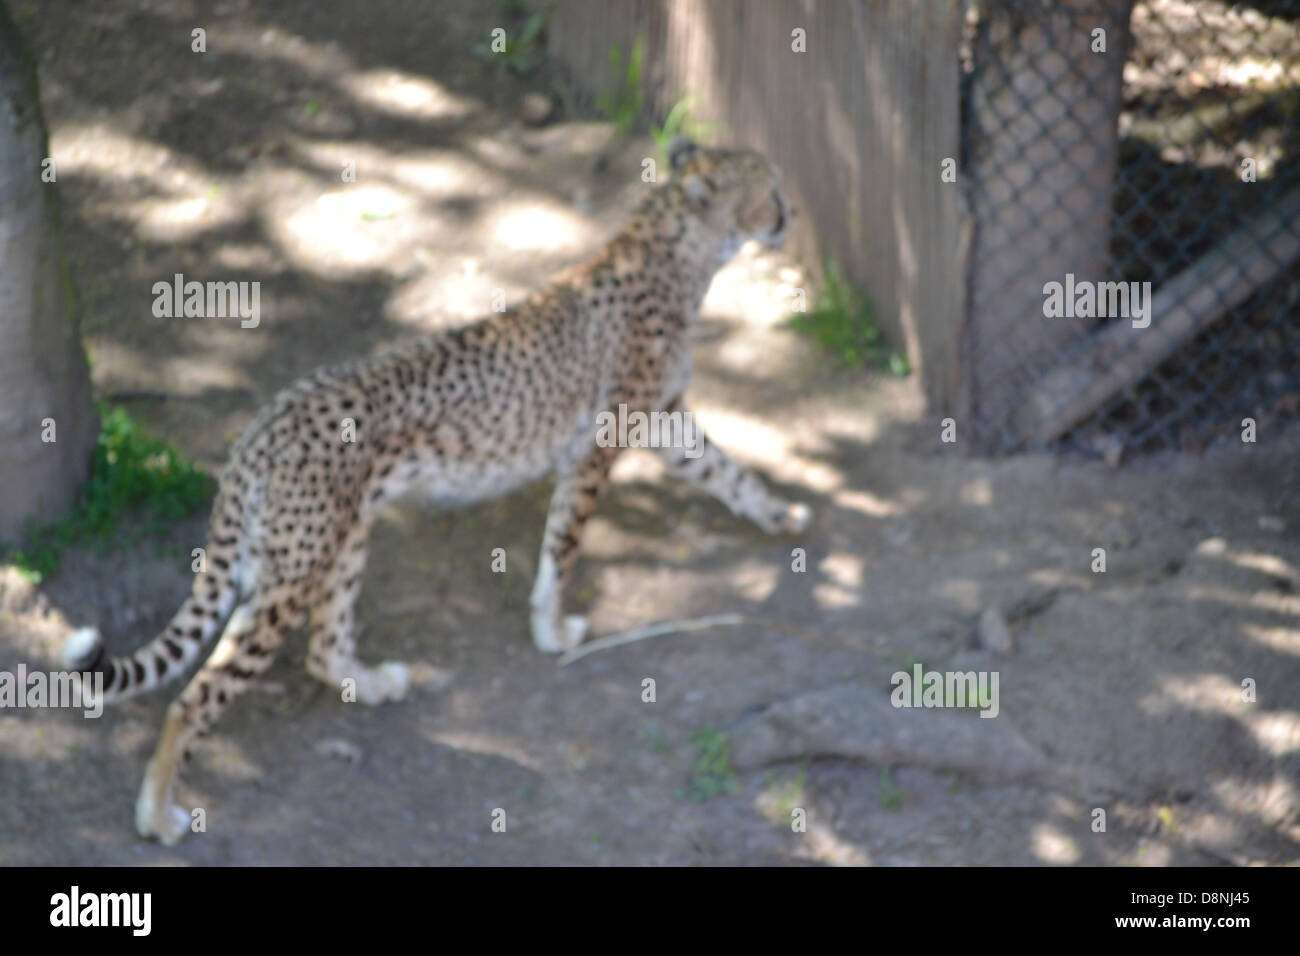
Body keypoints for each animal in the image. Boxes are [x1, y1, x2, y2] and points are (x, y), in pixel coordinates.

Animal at [63, 138, 811, 842]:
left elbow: (728, 472)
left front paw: (781, 515)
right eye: (770, 188)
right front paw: (552, 630)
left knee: (323, 646)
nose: (790, 215)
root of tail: (264, 423)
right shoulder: (596, 448)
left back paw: (371, 682)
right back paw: (158, 812)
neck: (676, 244)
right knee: (199, 694)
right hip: (291, 572)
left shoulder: (663, 421)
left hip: (345, 537)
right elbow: (564, 546)